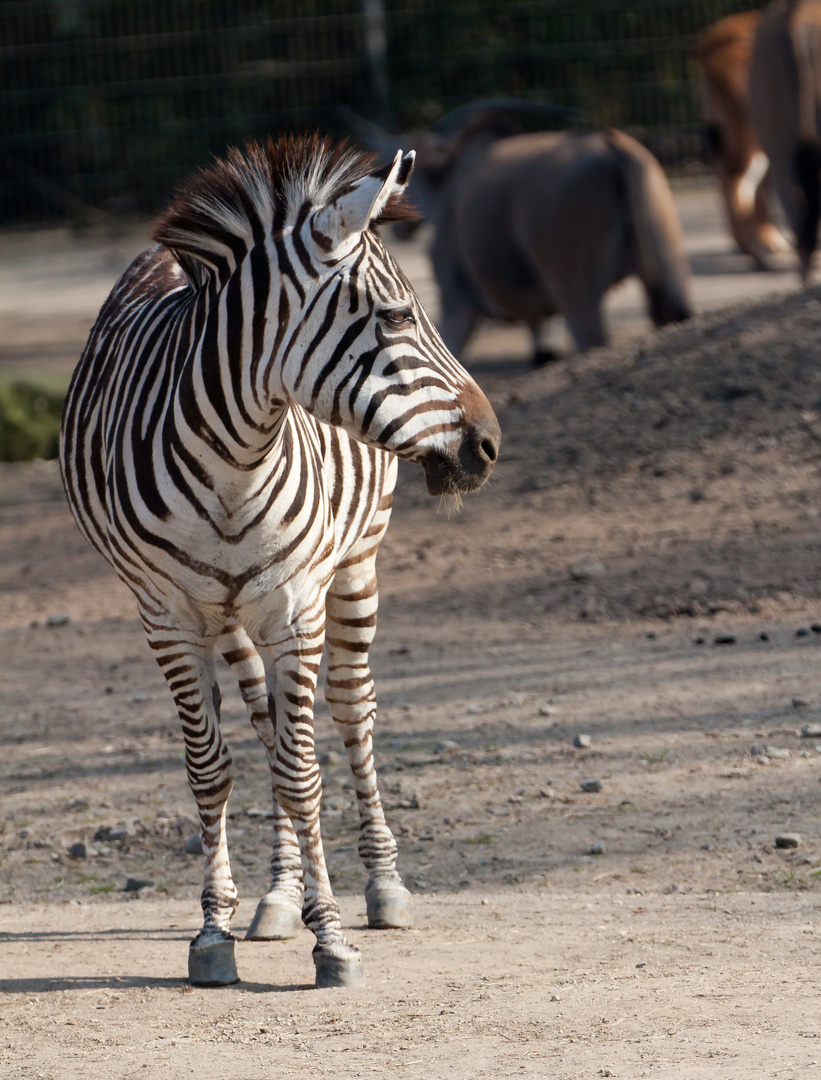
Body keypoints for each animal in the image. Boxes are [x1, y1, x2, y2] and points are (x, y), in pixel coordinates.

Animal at [59, 135, 501, 989]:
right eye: (397, 316)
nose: (489, 444)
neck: (236, 458)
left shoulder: (297, 605)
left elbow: (303, 771)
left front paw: (332, 940)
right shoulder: (166, 616)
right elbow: (214, 768)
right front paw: (214, 932)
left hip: (354, 567)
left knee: (352, 712)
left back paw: (381, 887)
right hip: (232, 614)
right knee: (266, 727)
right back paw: (275, 897)